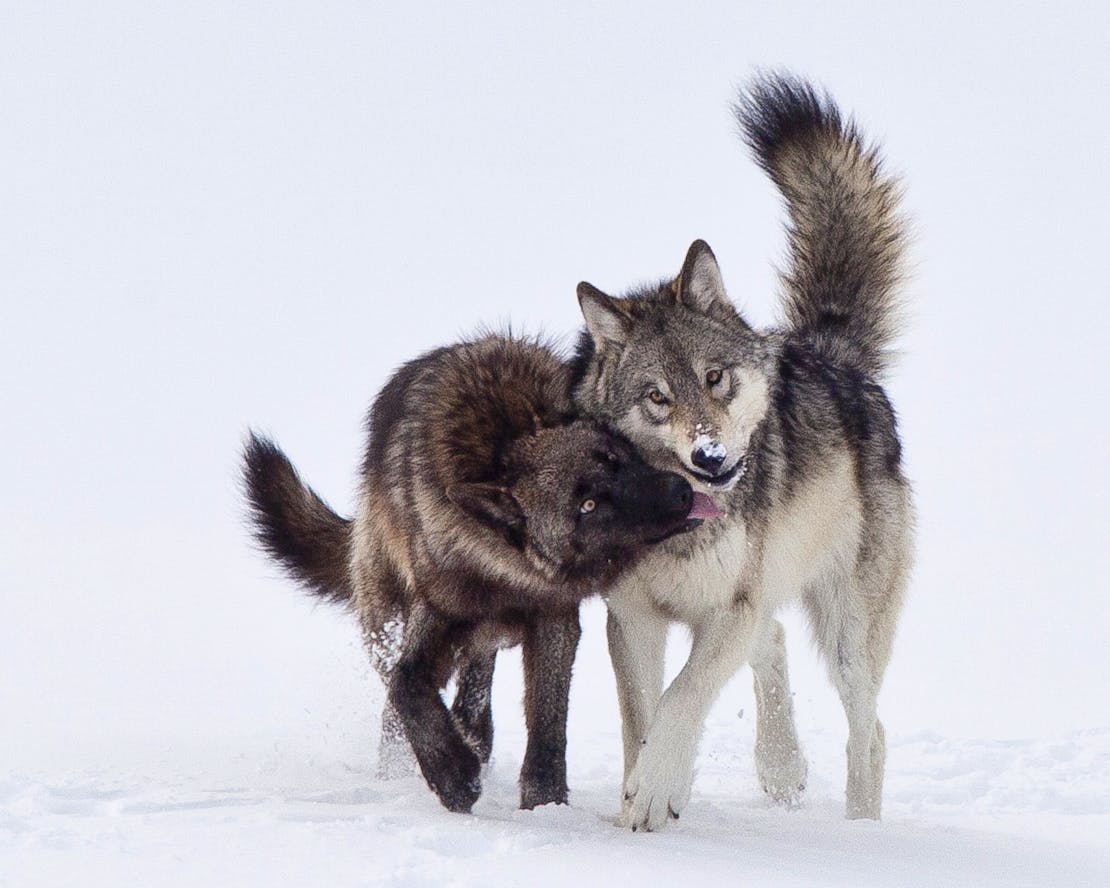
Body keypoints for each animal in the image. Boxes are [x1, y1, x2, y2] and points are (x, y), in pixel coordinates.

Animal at [244, 333, 710, 812]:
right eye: (587, 505)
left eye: (616, 457)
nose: (680, 491)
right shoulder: (435, 614)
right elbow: (407, 685)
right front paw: (452, 775)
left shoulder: (554, 620)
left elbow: (547, 719)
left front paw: (545, 802)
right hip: (386, 624)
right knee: (396, 695)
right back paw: (402, 772)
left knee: (475, 683)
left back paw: (473, 737)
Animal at [572, 72, 910, 830]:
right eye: (658, 397)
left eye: (714, 378)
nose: (712, 459)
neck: (675, 523)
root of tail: (828, 351)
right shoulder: (631, 617)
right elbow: (642, 715)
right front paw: (642, 799)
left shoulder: (728, 609)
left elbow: (682, 698)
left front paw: (655, 790)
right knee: (778, 646)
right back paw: (781, 772)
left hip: (846, 632)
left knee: (872, 732)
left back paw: (863, 832)